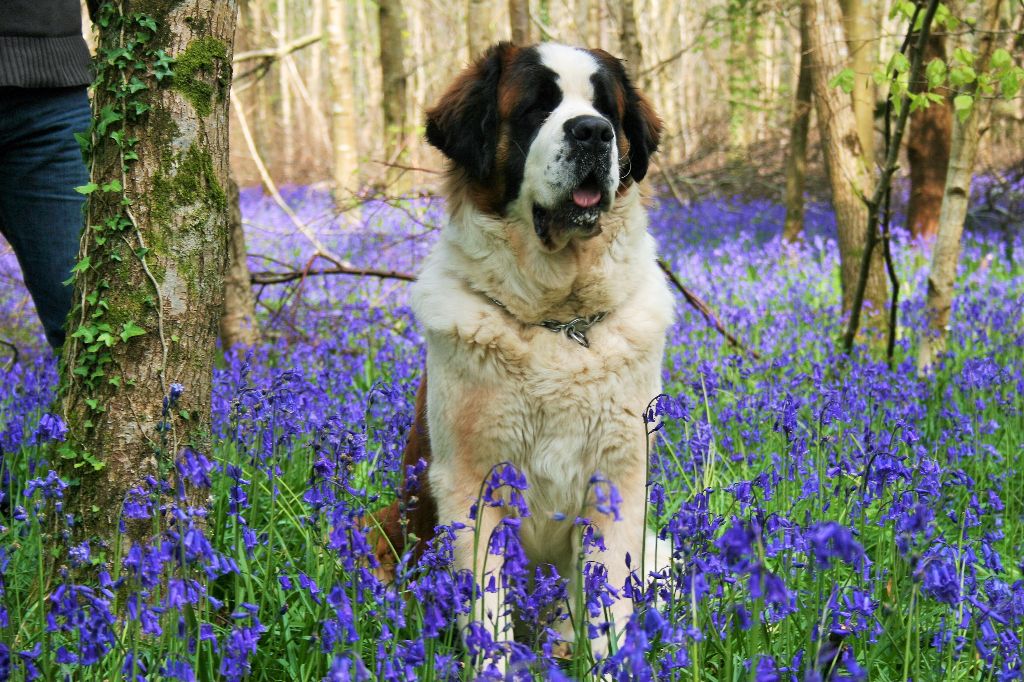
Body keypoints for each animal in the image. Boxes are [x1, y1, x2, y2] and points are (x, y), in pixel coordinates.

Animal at [376, 41, 671, 659]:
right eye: (538, 107)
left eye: (606, 109)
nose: (592, 132)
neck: (559, 320)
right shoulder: (471, 486)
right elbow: (488, 612)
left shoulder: (619, 482)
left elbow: (607, 613)